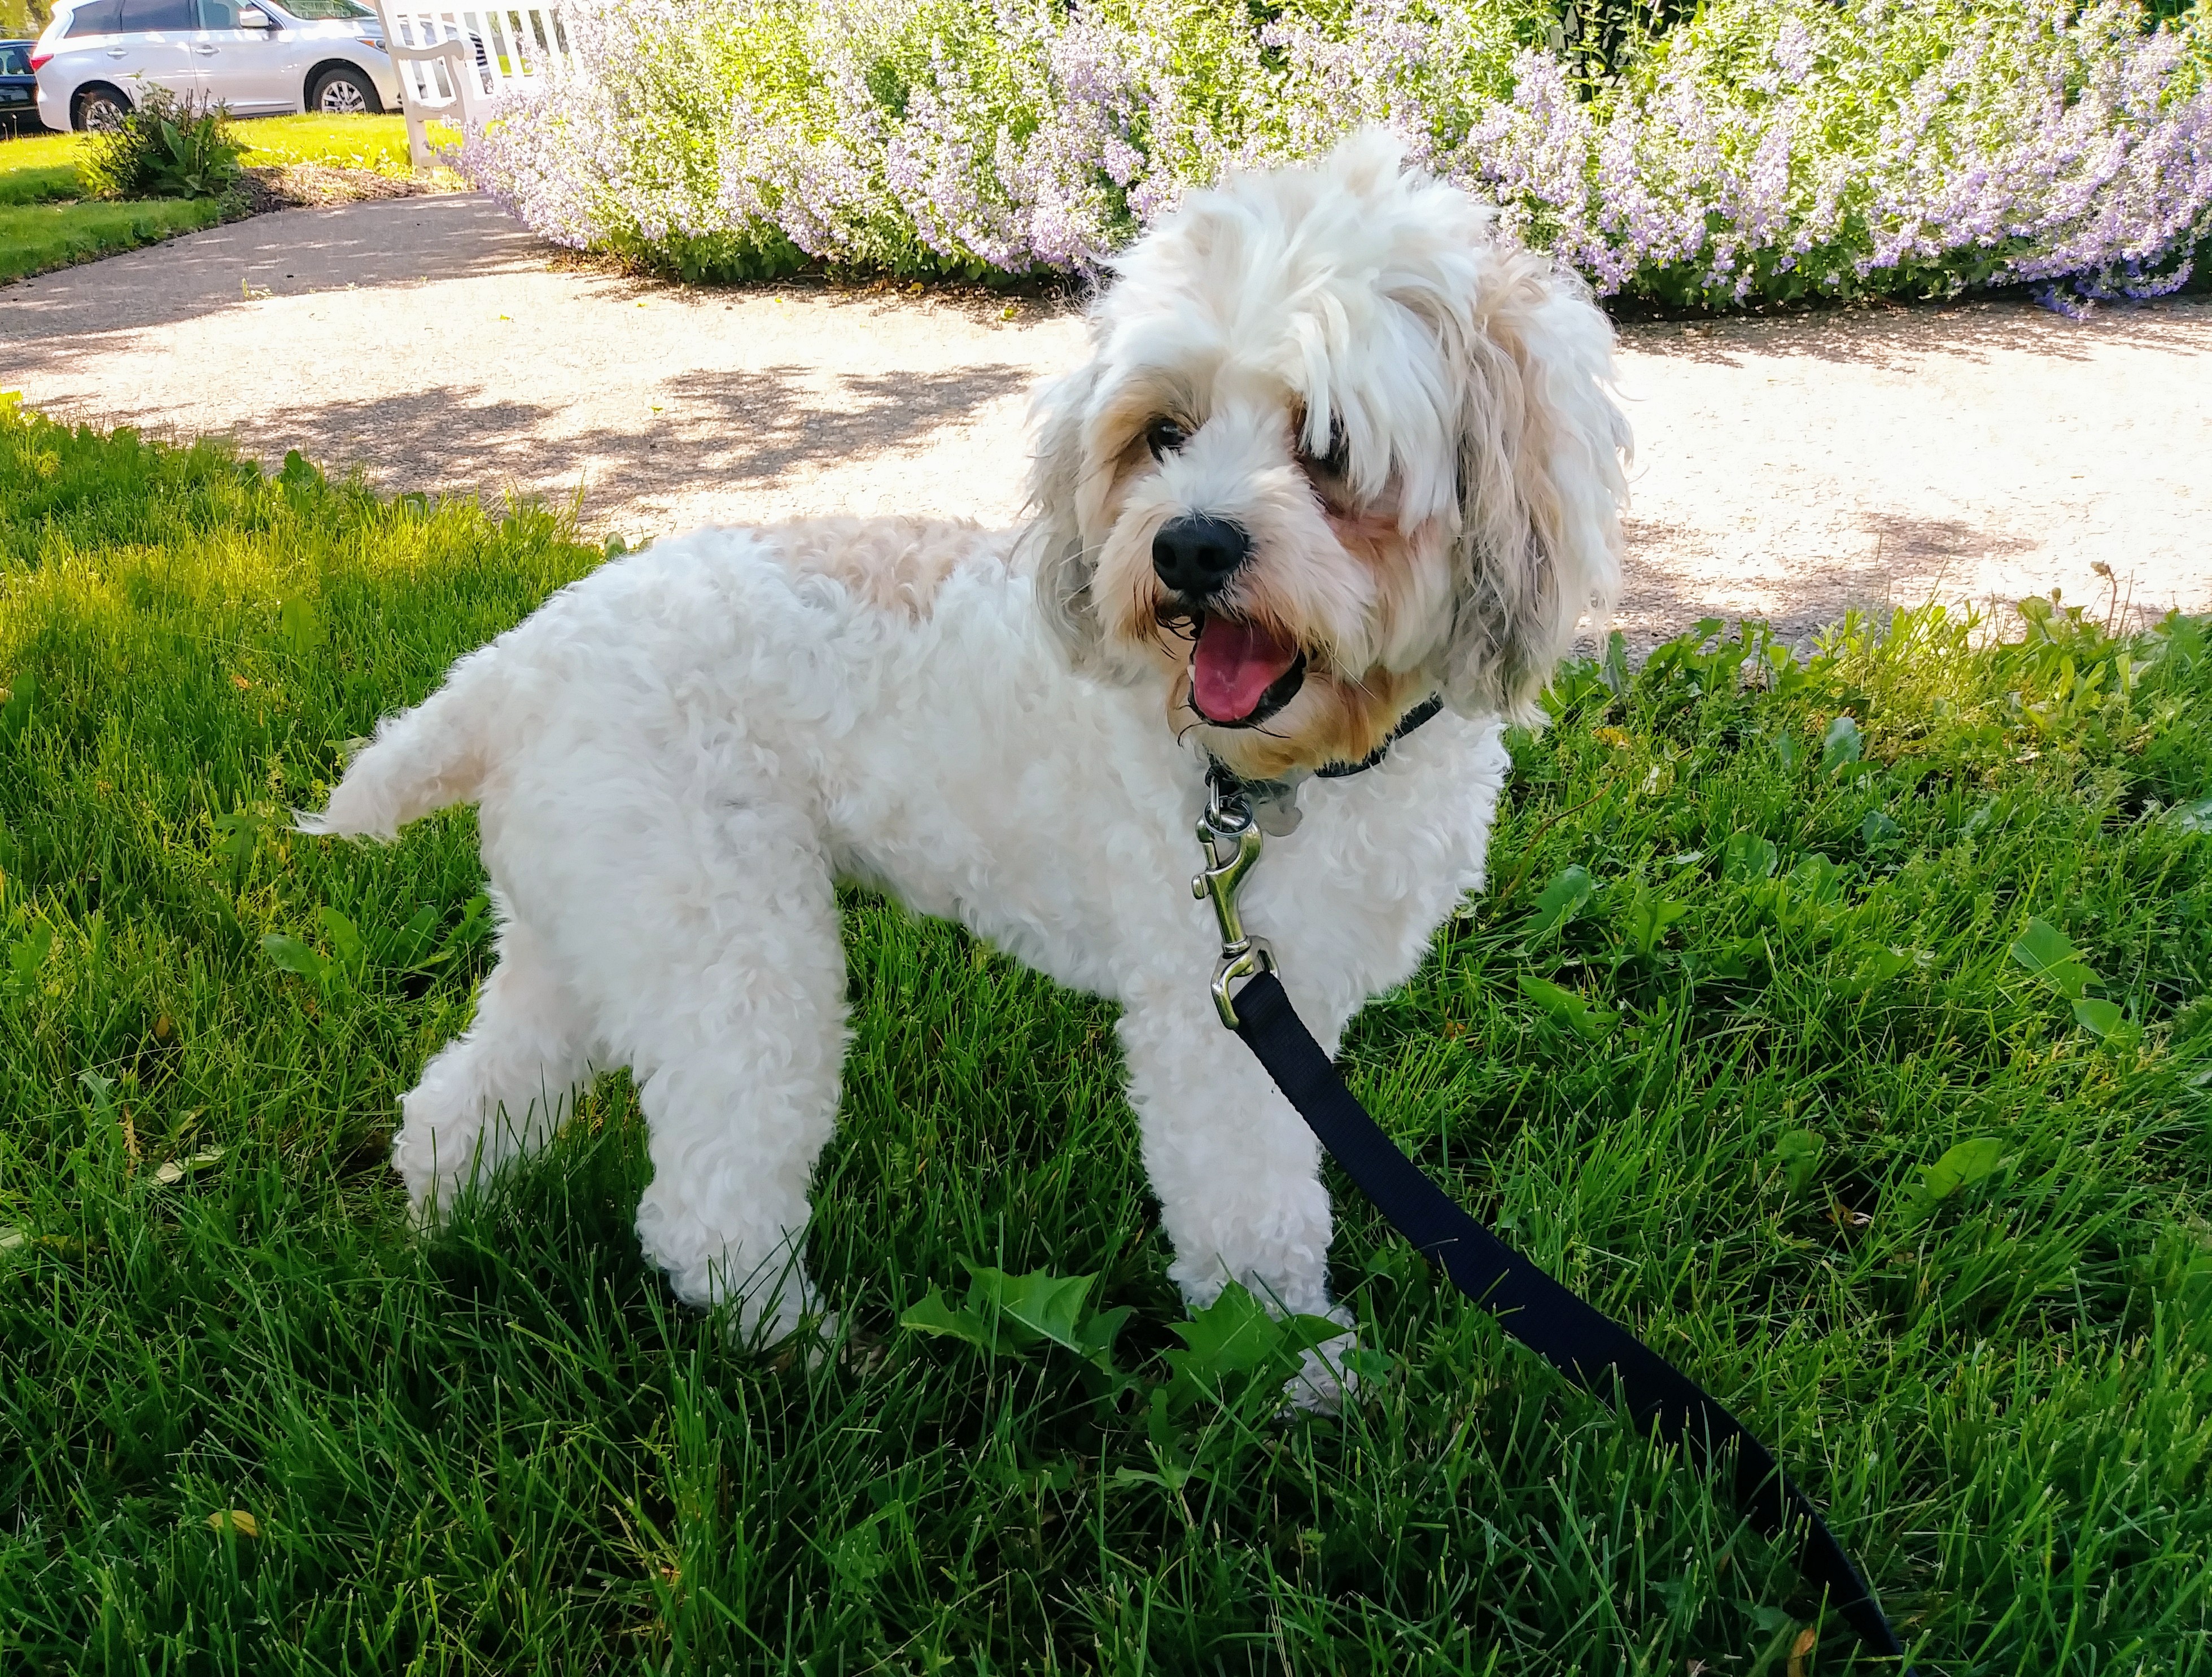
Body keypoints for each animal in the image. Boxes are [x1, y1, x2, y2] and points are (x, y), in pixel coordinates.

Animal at [303, 134, 1637, 1389]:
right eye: (1164, 433)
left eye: (1328, 444)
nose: (1189, 548)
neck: (1292, 767)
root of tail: (520, 658)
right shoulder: (1212, 1016)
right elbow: (1253, 1217)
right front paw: (1295, 1372)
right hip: (736, 956)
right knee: (705, 1205)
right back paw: (804, 1349)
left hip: (592, 927)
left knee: (464, 1096)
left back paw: (447, 1226)